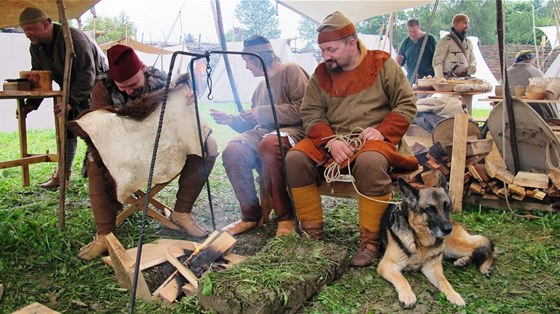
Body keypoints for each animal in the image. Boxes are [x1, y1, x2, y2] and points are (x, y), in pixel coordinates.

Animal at [376, 174, 494, 310]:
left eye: (447, 206)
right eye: (430, 209)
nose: (448, 229)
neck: (420, 242)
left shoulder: (432, 267)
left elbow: (444, 281)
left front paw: (454, 295)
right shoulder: (387, 265)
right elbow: (402, 279)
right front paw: (408, 296)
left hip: (453, 246)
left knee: (486, 243)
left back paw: (485, 266)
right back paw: (463, 261)